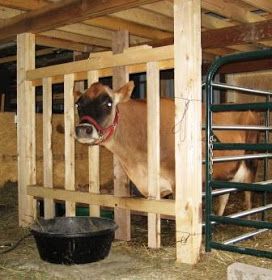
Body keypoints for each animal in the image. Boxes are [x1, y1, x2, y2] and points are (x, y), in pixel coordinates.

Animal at [74, 81, 260, 214]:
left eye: (108, 103)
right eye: (78, 105)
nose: (83, 129)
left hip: (251, 160)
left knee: (249, 192)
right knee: (225, 194)